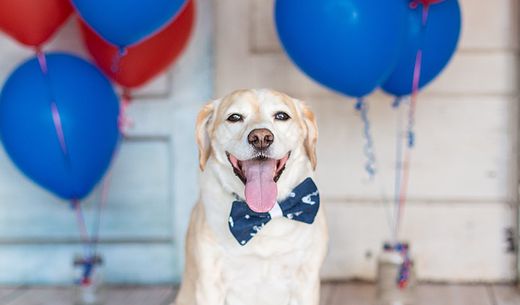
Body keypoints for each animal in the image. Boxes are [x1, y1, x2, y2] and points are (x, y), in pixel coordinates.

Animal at [177, 88, 328, 304]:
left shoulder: (306, 283)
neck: (263, 215)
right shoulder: (209, 284)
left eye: (281, 116)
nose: (261, 137)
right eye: (234, 117)